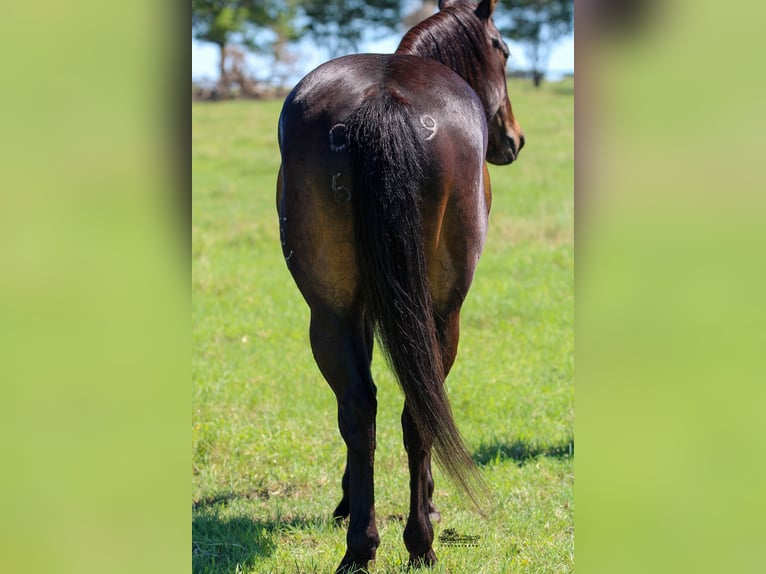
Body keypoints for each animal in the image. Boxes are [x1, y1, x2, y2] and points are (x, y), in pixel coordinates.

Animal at [274, 0, 520, 572]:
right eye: (503, 50)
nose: (514, 140)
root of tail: (382, 102)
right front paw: (428, 504)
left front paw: (348, 500)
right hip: (442, 313)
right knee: (418, 412)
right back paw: (419, 540)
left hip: (331, 312)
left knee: (360, 409)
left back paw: (360, 548)